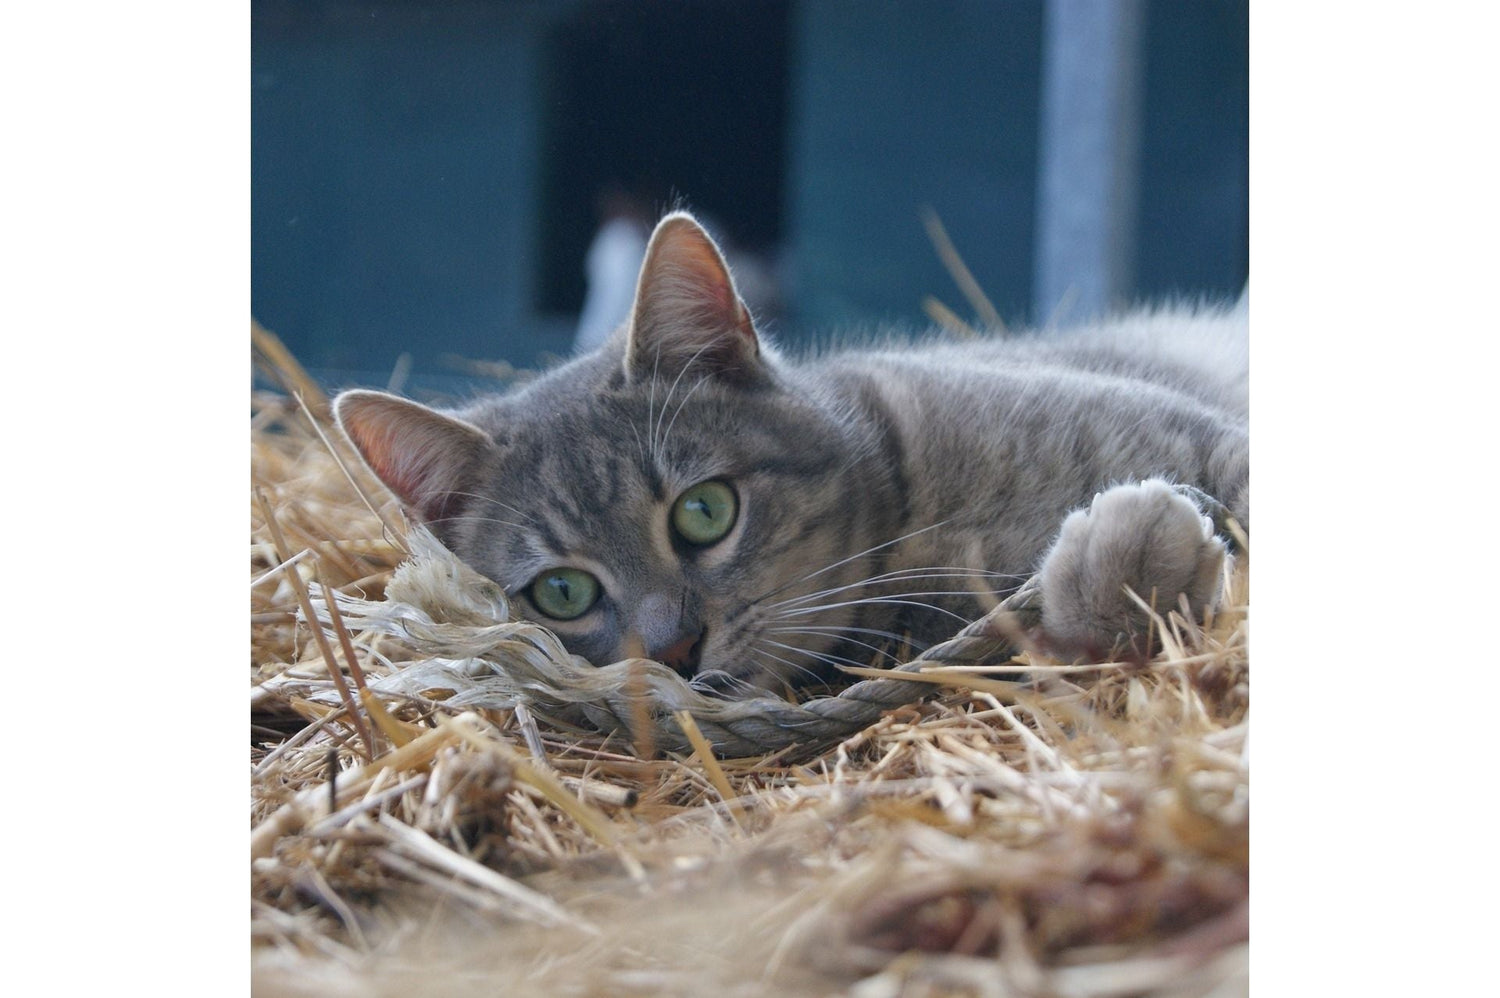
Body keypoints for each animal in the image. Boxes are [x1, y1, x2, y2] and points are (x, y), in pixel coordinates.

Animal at [337, 211, 1242, 693]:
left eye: (705, 512)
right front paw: (1122, 567)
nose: (675, 649)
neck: (912, 519)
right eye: (562, 593)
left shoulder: (1203, 431)